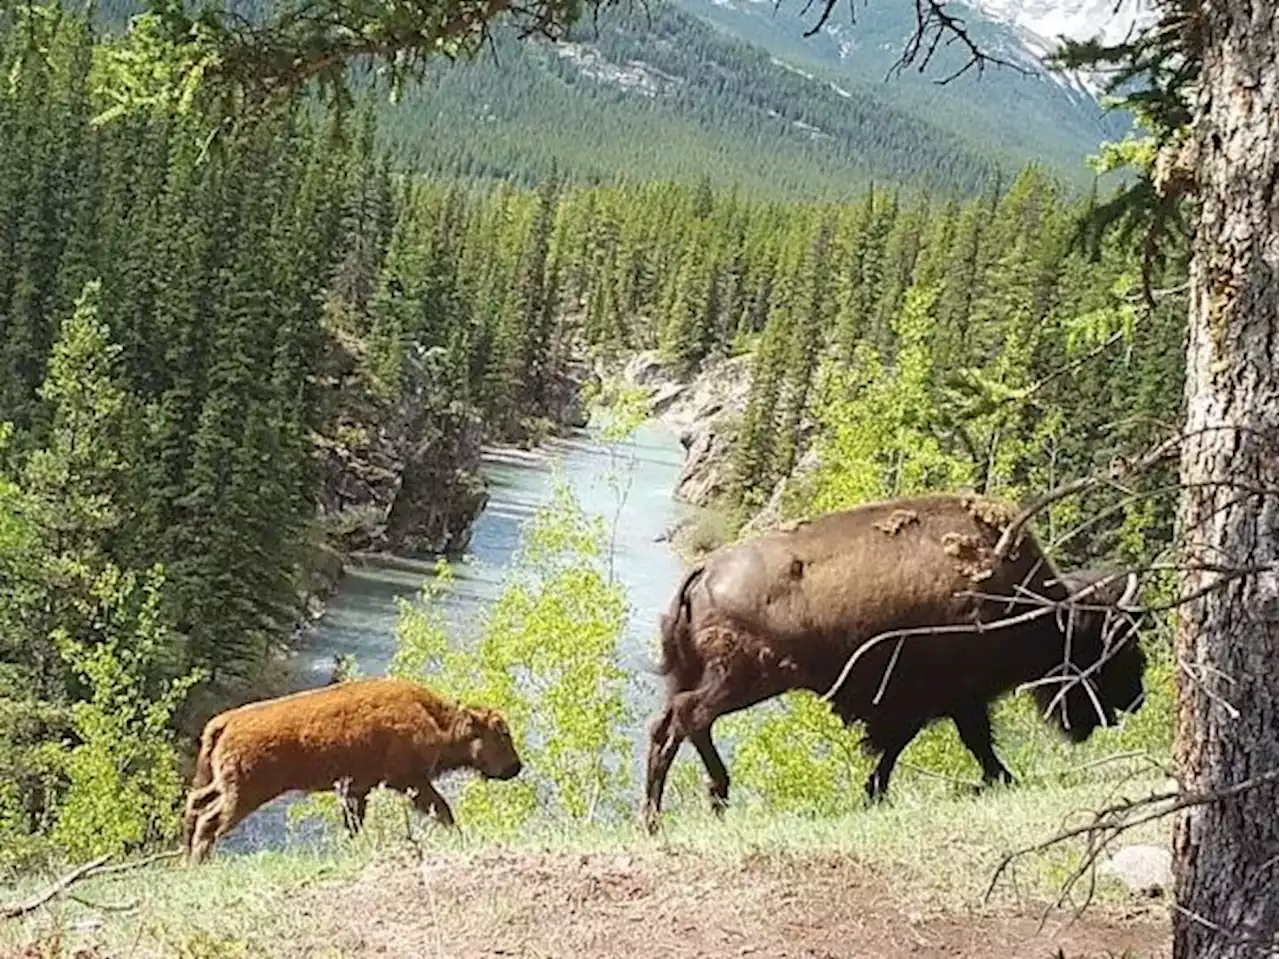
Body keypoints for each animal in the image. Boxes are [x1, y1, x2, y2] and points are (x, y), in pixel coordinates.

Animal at [183, 670, 522, 860]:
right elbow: (442, 810)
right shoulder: (410, 782)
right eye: (501, 734)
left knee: (196, 805)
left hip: (221, 785)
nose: (515, 767)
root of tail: (226, 721)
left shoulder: (357, 790)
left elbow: (353, 825)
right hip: (244, 794)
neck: (434, 717)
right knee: (210, 821)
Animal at [645, 494, 1146, 829]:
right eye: (1110, 647)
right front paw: (1001, 777)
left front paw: (875, 793)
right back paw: (716, 796)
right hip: (745, 678)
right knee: (692, 716)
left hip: (700, 676)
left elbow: (909, 746)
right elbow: (961, 740)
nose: (1136, 698)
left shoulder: (930, 702)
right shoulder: (946, 697)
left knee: (665, 727)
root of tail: (703, 571)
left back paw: (655, 819)